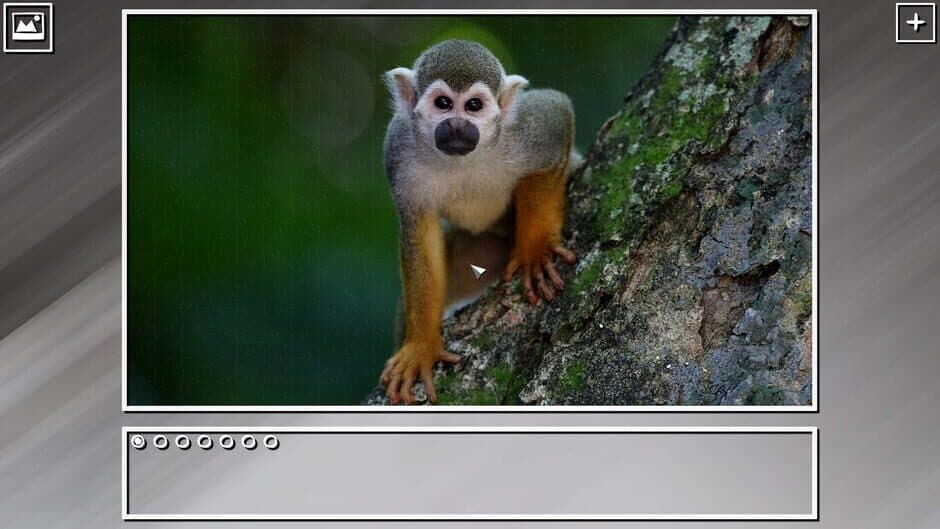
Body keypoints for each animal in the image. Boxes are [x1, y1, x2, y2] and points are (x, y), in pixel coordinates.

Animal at [380, 40, 578, 404]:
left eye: (474, 106)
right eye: (443, 104)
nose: (458, 126)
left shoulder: (524, 129)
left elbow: (557, 114)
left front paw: (534, 251)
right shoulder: (398, 149)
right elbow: (420, 235)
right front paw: (421, 346)